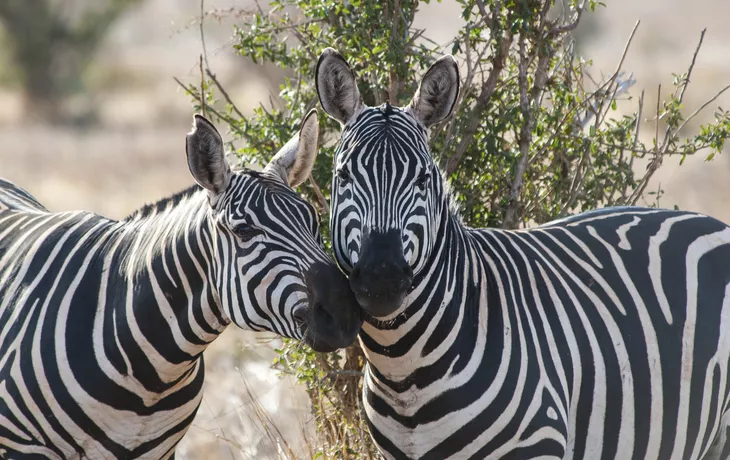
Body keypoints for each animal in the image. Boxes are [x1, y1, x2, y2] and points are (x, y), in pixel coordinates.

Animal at [0, 109, 362, 458]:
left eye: (313, 221)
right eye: (244, 231)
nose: (345, 314)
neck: (151, 374)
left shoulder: (160, 452)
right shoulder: (24, 447)